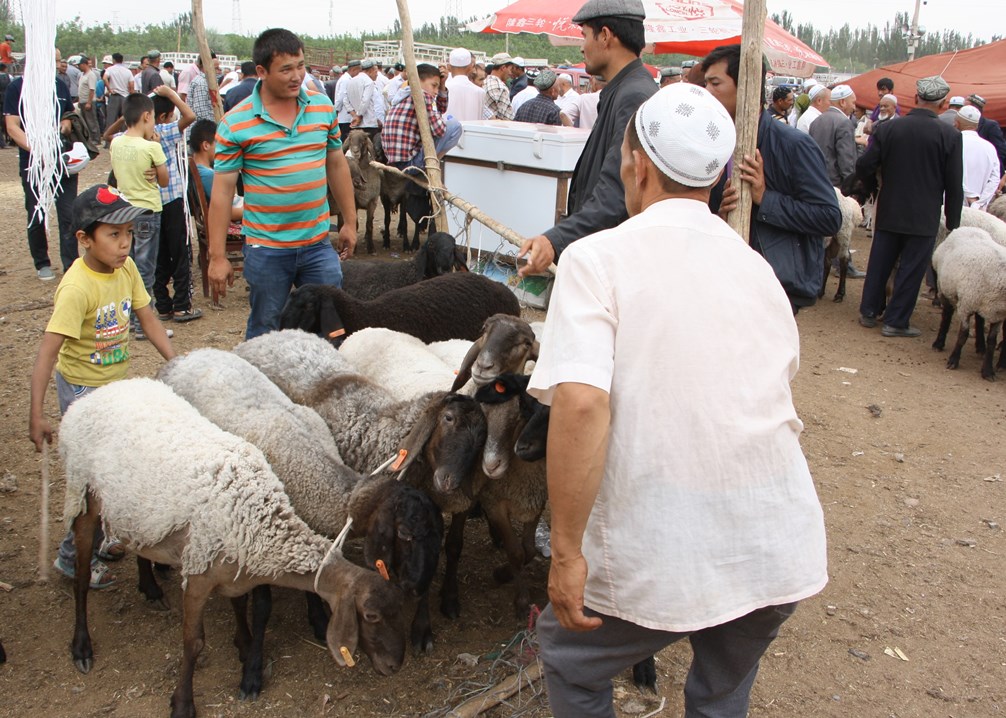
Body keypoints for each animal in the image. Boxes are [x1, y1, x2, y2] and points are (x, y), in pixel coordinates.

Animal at [57, 378, 404, 711]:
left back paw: (151, 588)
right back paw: (82, 647)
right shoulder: (198, 573)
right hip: (82, 495)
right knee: (81, 579)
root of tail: (99, 394)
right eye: (371, 616)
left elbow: (240, 606)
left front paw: (246, 648)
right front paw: (183, 702)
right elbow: (194, 642)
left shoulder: (236, 566)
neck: (259, 519)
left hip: (140, 514)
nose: (395, 666)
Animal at [159, 349, 444, 655]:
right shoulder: (259, 532)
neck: (308, 464)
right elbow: (264, 599)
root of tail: (188, 354)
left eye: (439, 535)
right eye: (404, 534)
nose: (419, 588)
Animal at [929, 228, 1001, 380]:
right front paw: (953, 360)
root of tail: (962, 228)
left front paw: (988, 371)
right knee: (947, 315)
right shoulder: (965, 306)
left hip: (980, 301)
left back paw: (981, 347)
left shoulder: (997, 314)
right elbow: (963, 335)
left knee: (979, 319)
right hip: (946, 288)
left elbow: (992, 341)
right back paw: (939, 342)